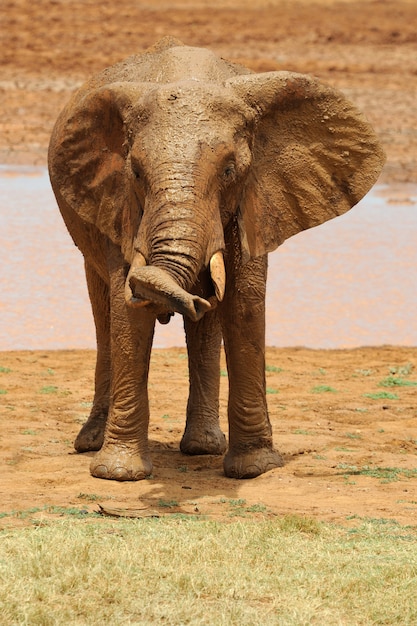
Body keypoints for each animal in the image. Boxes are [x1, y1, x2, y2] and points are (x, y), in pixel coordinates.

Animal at [48, 36, 384, 480]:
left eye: (229, 170)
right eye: (134, 172)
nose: (191, 300)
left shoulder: (259, 197)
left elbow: (243, 303)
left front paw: (254, 468)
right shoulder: (116, 202)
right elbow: (127, 315)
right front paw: (118, 474)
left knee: (205, 327)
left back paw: (203, 447)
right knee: (103, 312)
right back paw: (92, 443)